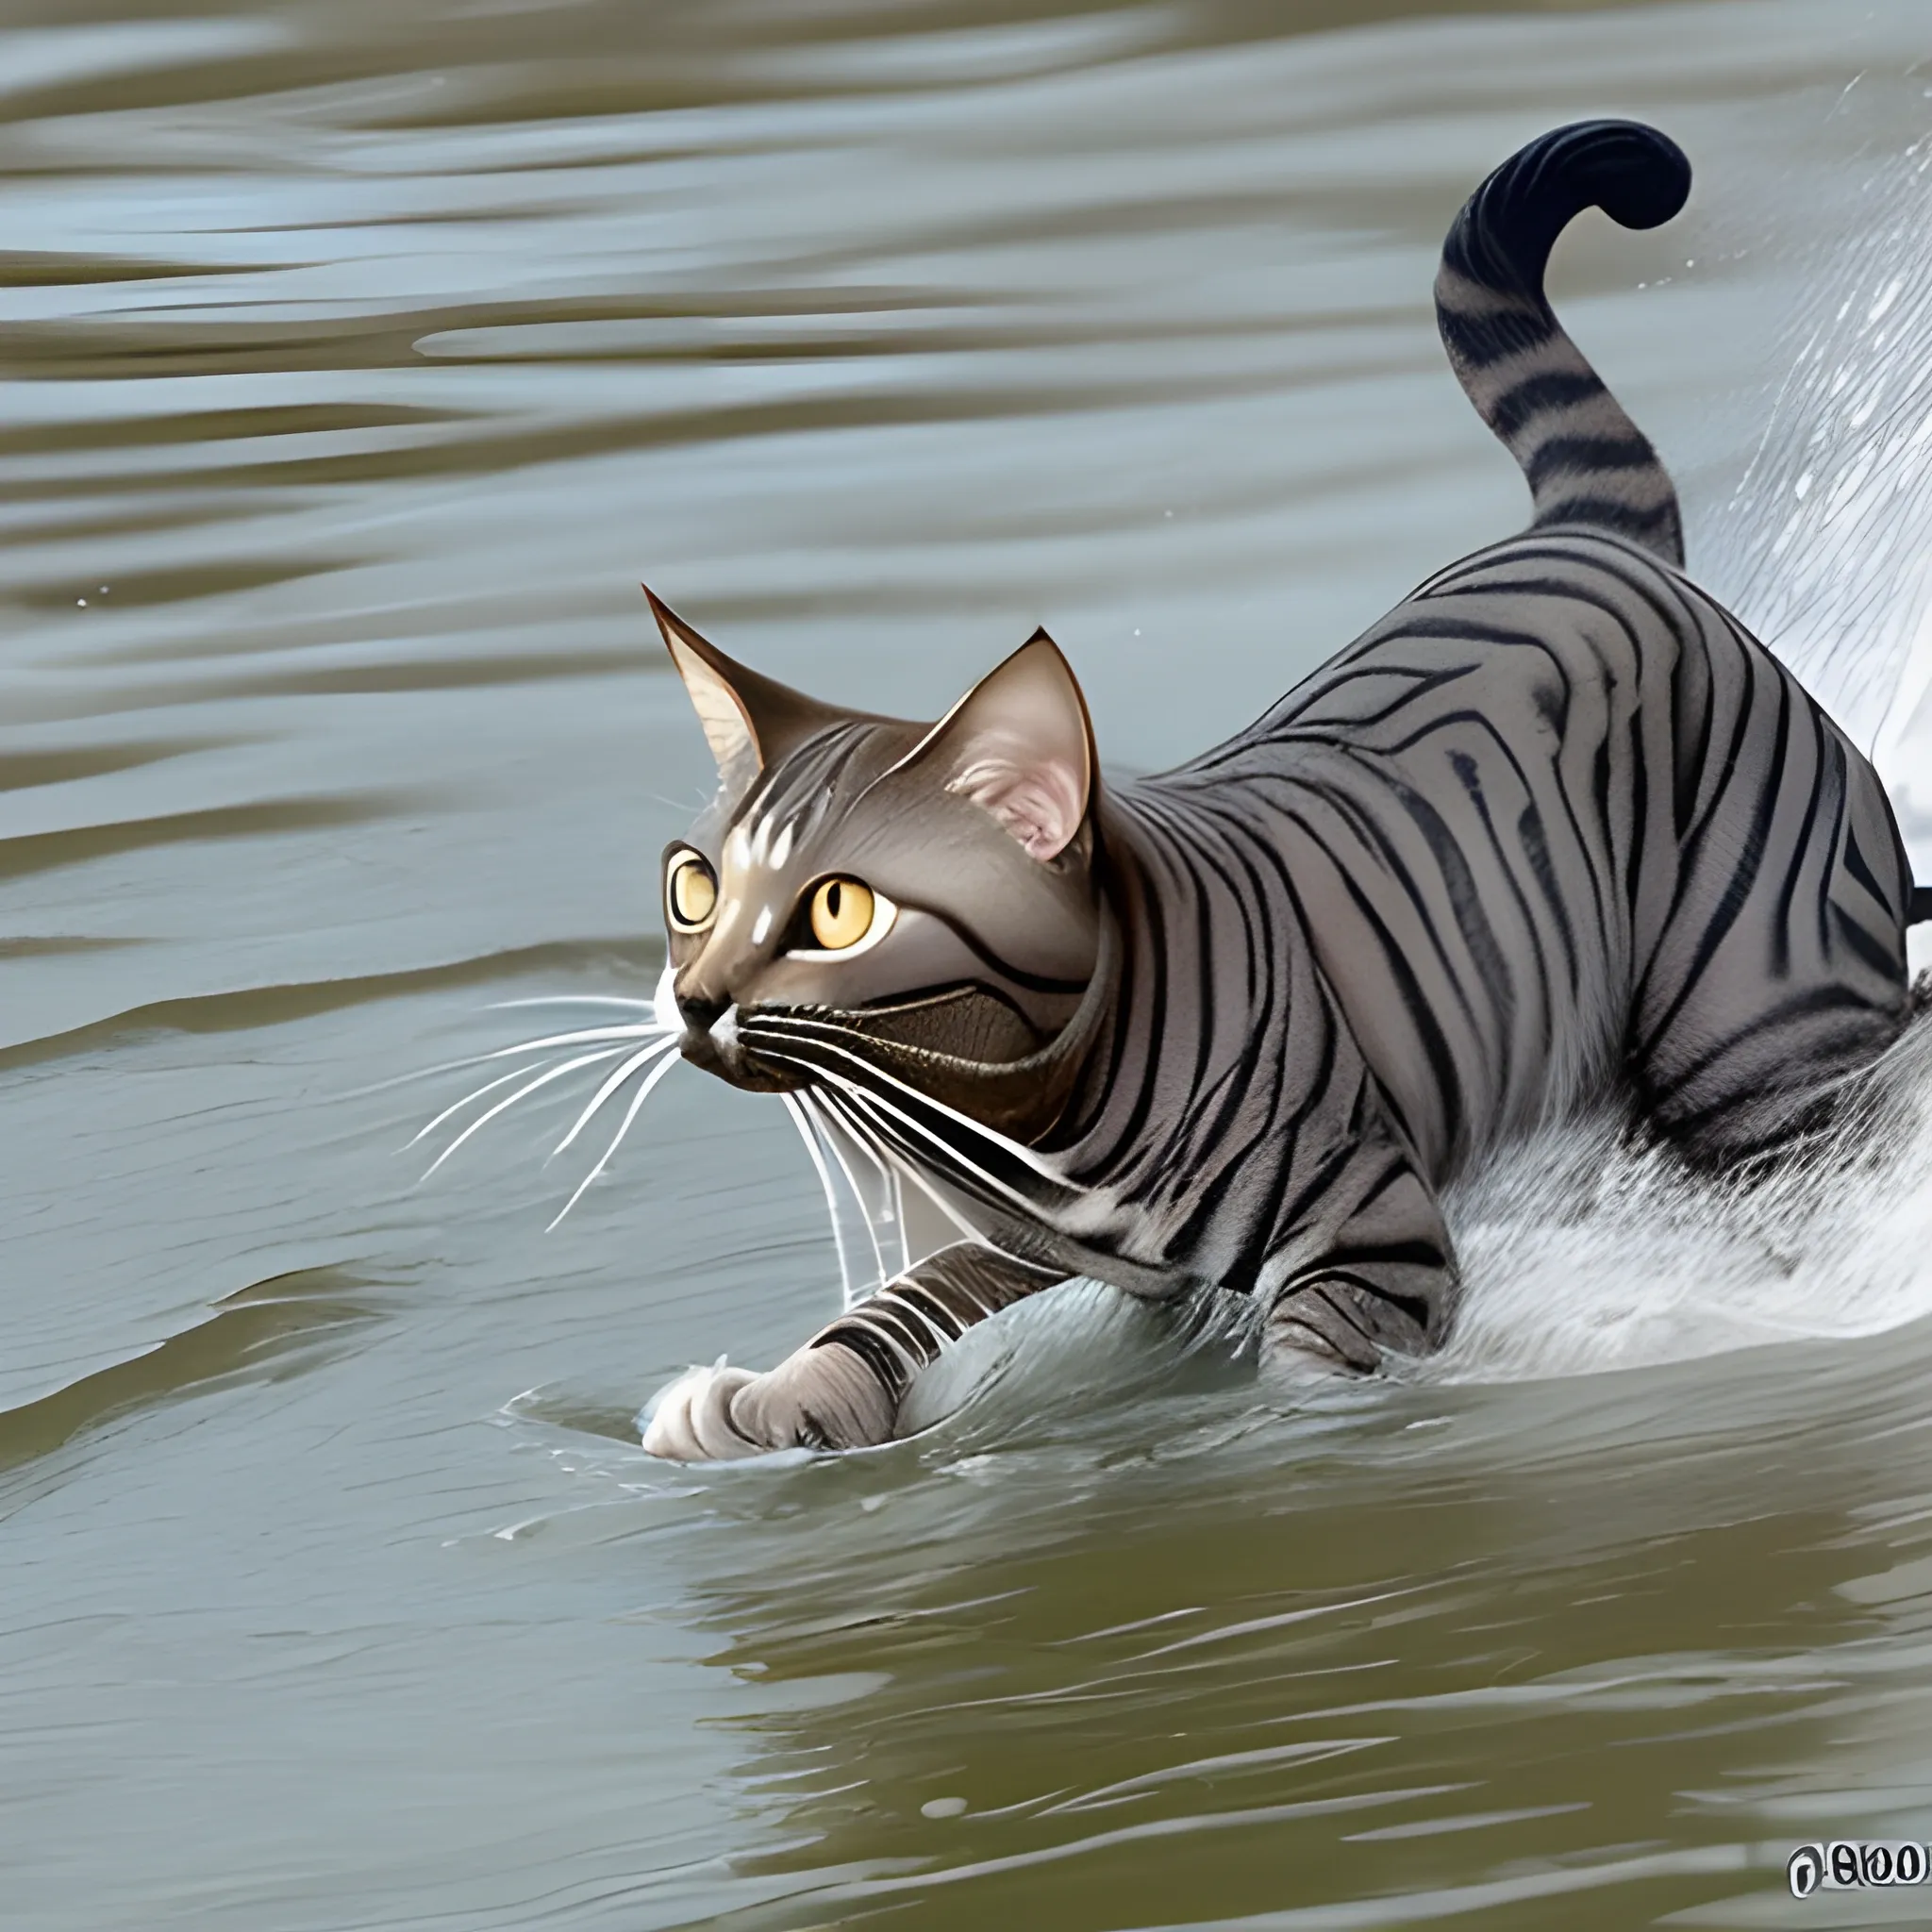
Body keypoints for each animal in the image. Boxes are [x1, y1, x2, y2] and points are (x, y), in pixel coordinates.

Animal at [641, 116, 1924, 1460]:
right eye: (694, 888)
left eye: (837, 908)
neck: (1031, 1105)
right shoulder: (1014, 1232)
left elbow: (1305, 1378)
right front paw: (759, 1403)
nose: (693, 999)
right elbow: (888, 1308)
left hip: (1749, 1038)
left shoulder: (1374, 1234)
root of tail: (1582, 537)